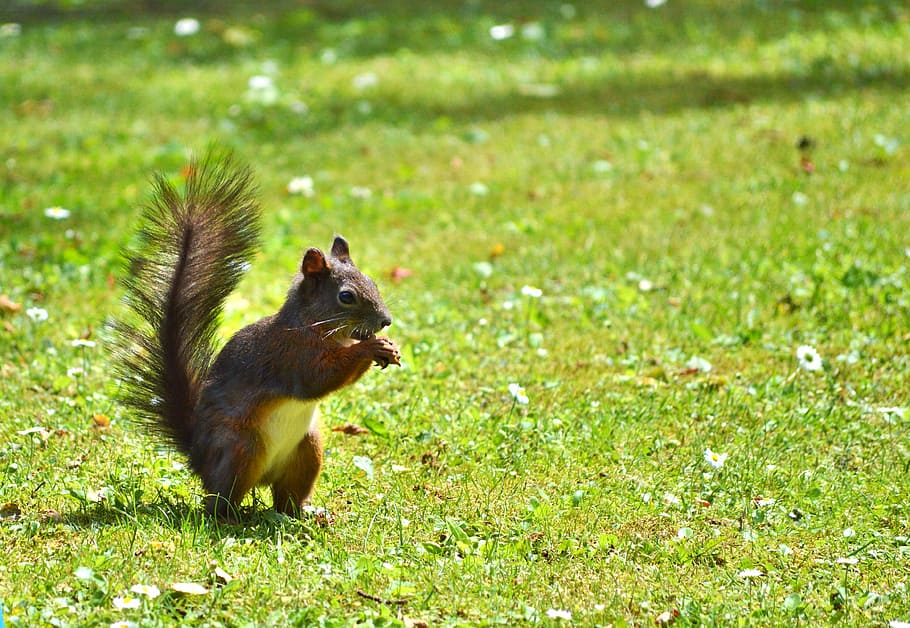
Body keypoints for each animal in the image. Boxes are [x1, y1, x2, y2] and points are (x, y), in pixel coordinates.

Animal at [114, 152, 400, 518]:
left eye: (373, 282)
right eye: (346, 296)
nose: (386, 321)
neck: (312, 324)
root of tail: (199, 460)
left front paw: (388, 348)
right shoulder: (290, 354)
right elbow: (317, 378)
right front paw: (370, 348)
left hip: (307, 450)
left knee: (286, 498)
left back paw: (308, 513)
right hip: (242, 447)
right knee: (219, 500)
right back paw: (230, 518)